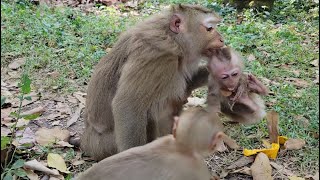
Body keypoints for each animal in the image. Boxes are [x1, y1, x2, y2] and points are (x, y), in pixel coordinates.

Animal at [81, 3, 224, 160]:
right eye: (210, 29)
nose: (222, 39)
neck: (173, 39)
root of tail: (86, 141)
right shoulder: (156, 58)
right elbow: (128, 104)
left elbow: (187, 83)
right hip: (105, 145)